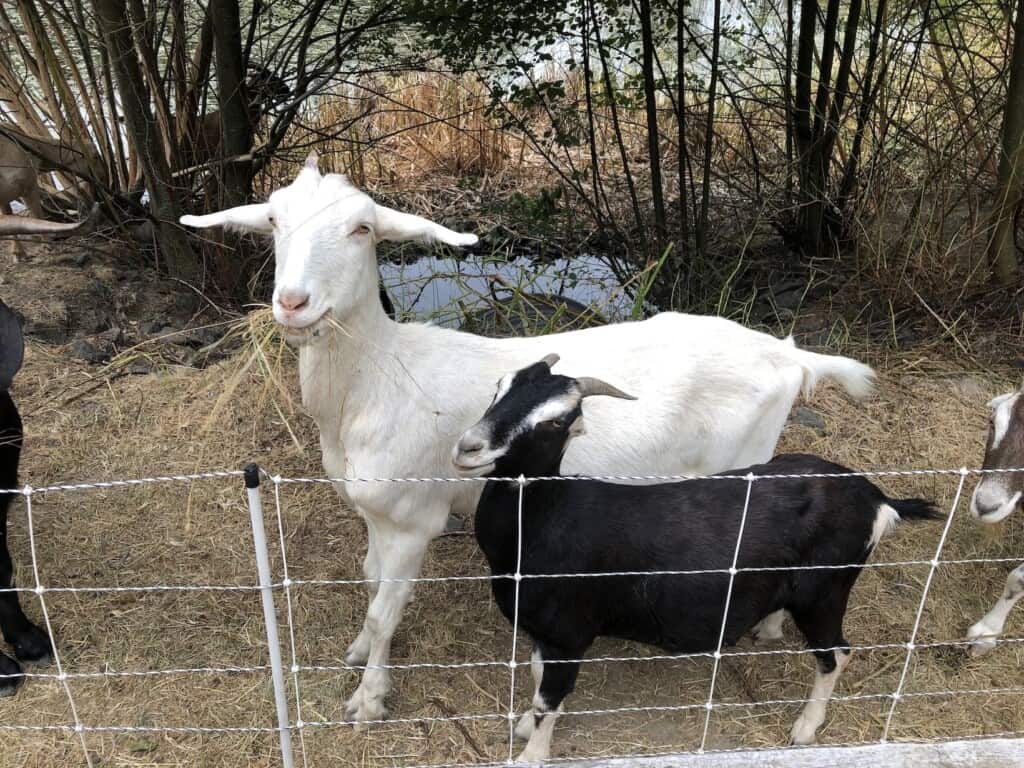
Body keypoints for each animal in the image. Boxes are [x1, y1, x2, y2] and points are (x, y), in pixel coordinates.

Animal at [180, 153, 876, 724]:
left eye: (362, 230)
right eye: (273, 221)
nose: (293, 303)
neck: (379, 380)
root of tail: (788, 354)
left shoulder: (413, 517)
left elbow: (384, 607)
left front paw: (369, 699)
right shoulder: (375, 512)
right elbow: (371, 580)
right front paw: (356, 654)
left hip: (748, 460)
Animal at [460, 356, 937, 765]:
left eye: (555, 420)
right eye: (500, 388)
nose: (468, 448)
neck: (543, 515)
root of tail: (875, 498)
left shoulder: (568, 633)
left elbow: (549, 699)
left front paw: (531, 753)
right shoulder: (542, 633)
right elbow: (536, 677)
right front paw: (523, 725)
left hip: (825, 592)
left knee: (836, 654)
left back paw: (804, 728)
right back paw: (768, 628)